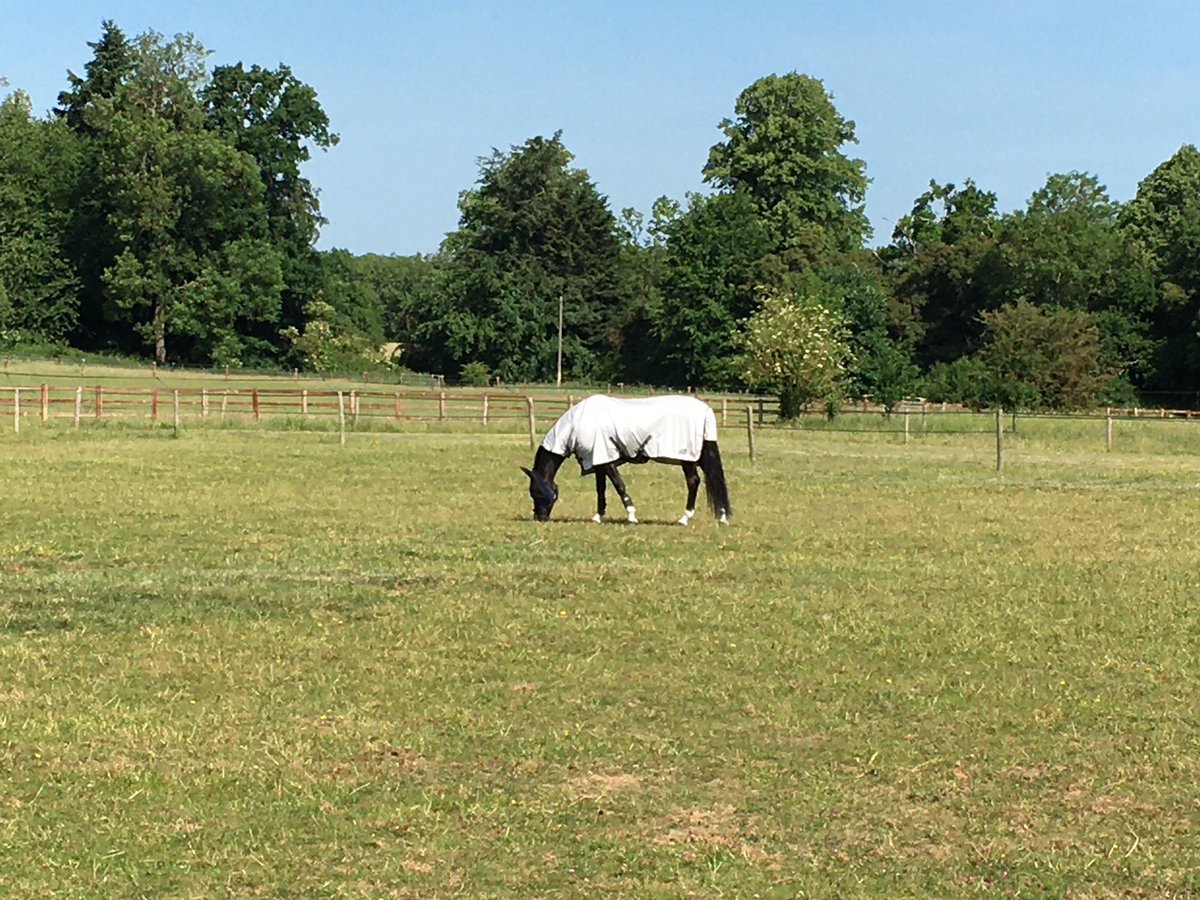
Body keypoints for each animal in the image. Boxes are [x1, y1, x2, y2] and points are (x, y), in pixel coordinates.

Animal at [521, 394, 731, 525]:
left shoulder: (607, 460)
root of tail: (705, 410)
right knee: (714, 479)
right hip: (701, 456)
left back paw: (684, 518)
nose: (540, 517)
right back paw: (722, 517)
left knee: (694, 482)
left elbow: (619, 486)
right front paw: (598, 516)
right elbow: (601, 490)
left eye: (535, 491)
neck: (578, 423)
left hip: (687, 459)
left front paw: (631, 516)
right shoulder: (598, 462)